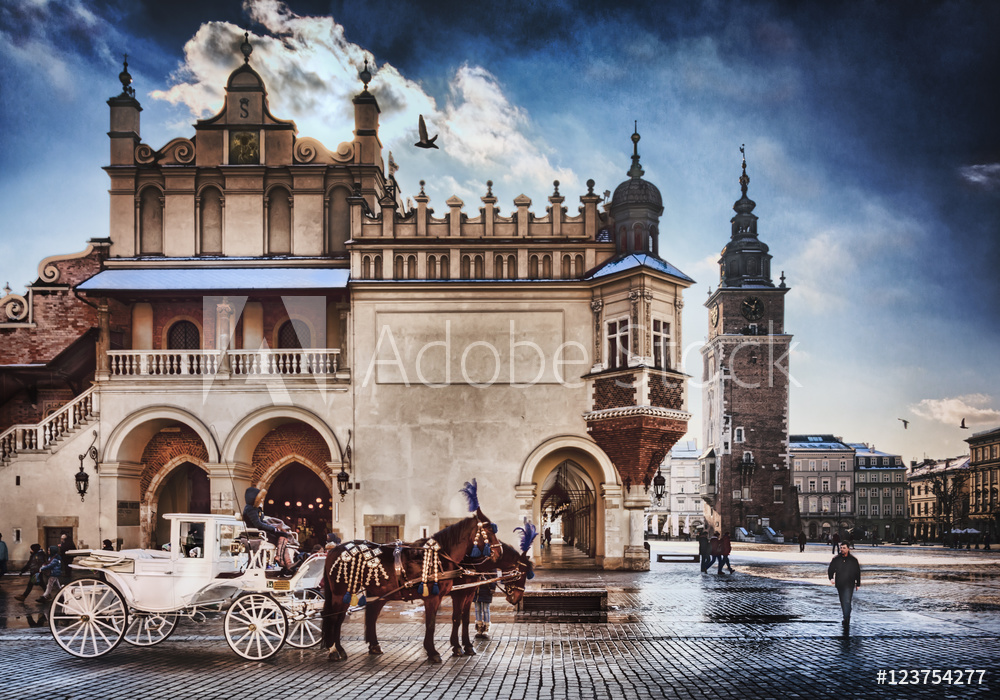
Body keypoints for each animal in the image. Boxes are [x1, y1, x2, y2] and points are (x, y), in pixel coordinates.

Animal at [320, 508, 500, 660]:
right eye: (490, 531)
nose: (499, 552)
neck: (440, 556)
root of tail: (335, 550)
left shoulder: (467, 593)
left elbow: (462, 619)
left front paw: (463, 647)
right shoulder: (439, 596)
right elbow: (435, 622)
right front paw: (435, 651)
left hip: (374, 592)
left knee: (360, 616)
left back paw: (361, 647)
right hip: (340, 593)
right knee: (335, 617)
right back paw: (334, 650)